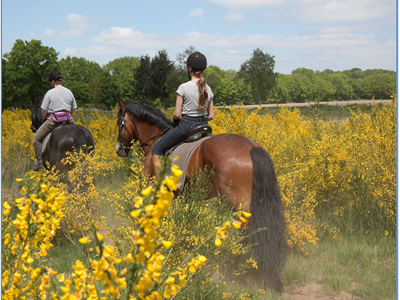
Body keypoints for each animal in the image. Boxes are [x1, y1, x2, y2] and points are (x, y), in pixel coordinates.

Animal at [114, 101, 286, 292]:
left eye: (119, 122)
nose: (119, 149)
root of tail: (253, 148)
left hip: (237, 205)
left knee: (247, 234)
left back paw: (235, 268)